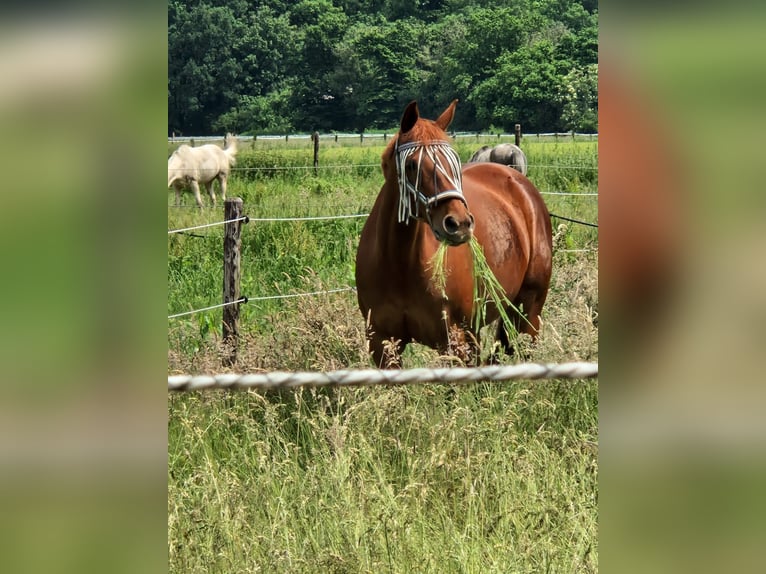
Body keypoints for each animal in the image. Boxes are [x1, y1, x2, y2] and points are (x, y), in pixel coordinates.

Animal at [354, 100, 552, 368]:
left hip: (528, 312)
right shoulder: (382, 344)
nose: (459, 224)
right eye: (411, 165)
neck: (399, 263)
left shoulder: (458, 342)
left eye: (454, 163)